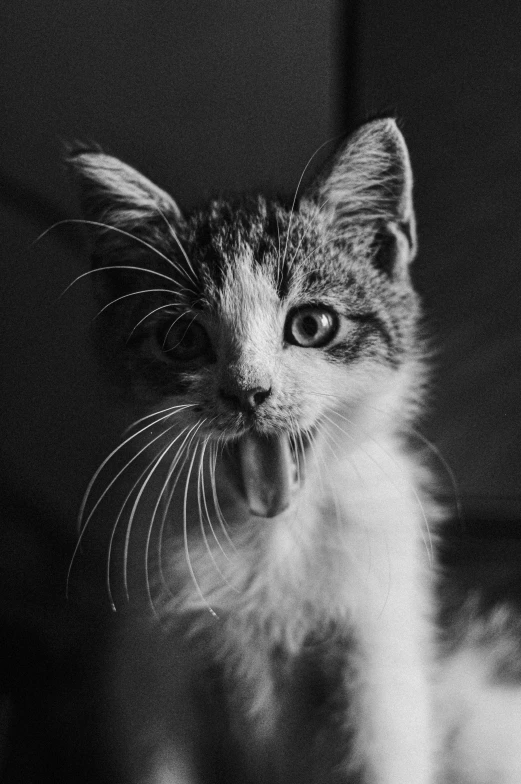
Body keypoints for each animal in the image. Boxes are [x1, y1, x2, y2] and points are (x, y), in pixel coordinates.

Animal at [67, 116, 520, 784]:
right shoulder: (150, 662)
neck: (270, 541)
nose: (248, 392)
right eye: (183, 338)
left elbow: (385, 748)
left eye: (311, 325)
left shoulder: (380, 646)